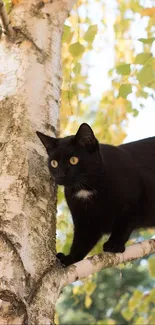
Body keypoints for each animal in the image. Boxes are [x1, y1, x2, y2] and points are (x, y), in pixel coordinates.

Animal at [36, 123, 155, 264]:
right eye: (54, 163)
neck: (87, 187)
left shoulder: (134, 201)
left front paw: (114, 244)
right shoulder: (85, 219)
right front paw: (69, 259)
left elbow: (124, 225)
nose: (60, 175)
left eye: (73, 160)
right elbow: (81, 241)